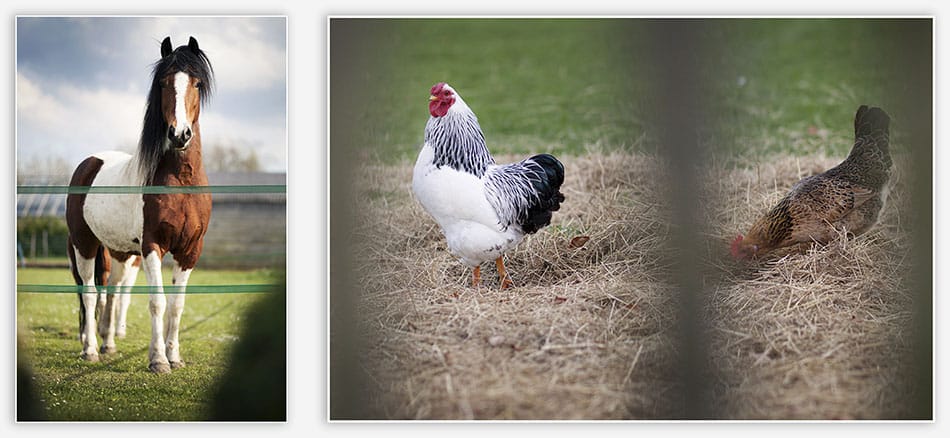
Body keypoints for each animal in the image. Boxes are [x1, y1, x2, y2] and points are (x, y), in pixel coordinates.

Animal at [65, 36, 214, 374]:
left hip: (117, 253)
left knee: (110, 291)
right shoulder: (152, 246)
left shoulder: (190, 250)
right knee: (90, 293)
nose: (180, 134)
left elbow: (176, 305)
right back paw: (90, 349)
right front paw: (158, 360)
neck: (181, 181)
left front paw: (174, 356)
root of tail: (89, 162)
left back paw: (107, 344)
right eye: (163, 83)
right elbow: (157, 302)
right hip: (84, 244)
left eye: (197, 83)